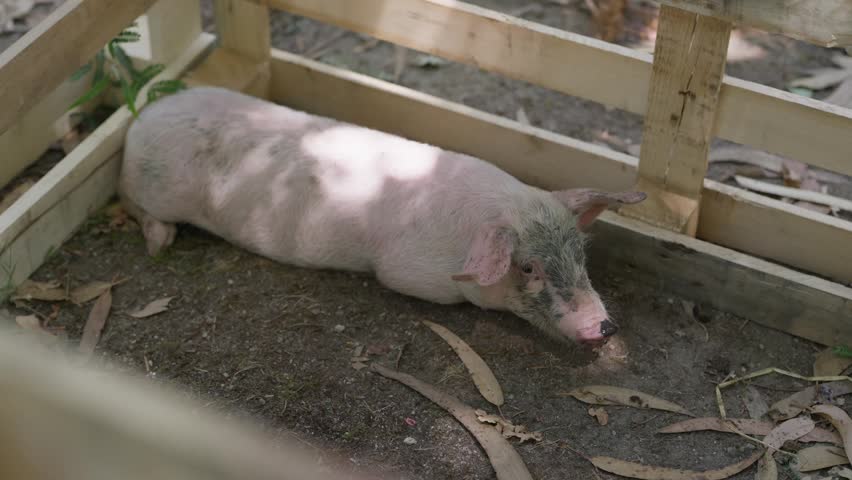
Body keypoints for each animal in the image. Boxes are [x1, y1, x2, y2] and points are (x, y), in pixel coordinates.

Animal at [118, 86, 646, 344]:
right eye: (529, 267)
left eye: (580, 255)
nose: (605, 328)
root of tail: (141, 121)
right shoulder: (405, 274)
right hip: (154, 189)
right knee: (133, 204)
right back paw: (160, 242)